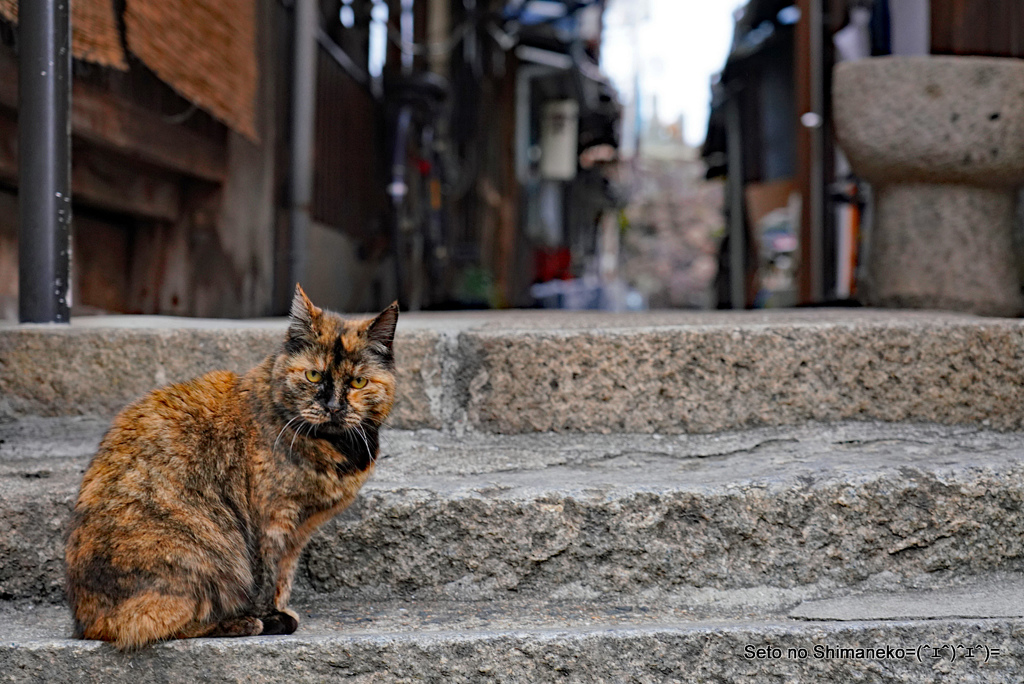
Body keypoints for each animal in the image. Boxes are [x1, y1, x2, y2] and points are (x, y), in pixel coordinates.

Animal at [61, 286, 393, 651]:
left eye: (358, 382)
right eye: (313, 375)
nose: (333, 406)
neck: (335, 447)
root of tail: (87, 623)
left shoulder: (298, 533)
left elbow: (285, 575)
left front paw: (281, 608)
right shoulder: (271, 520)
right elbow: (267, 576)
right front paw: (273, 616)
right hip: (202, 551)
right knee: (152, 625)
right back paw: (248, 622)